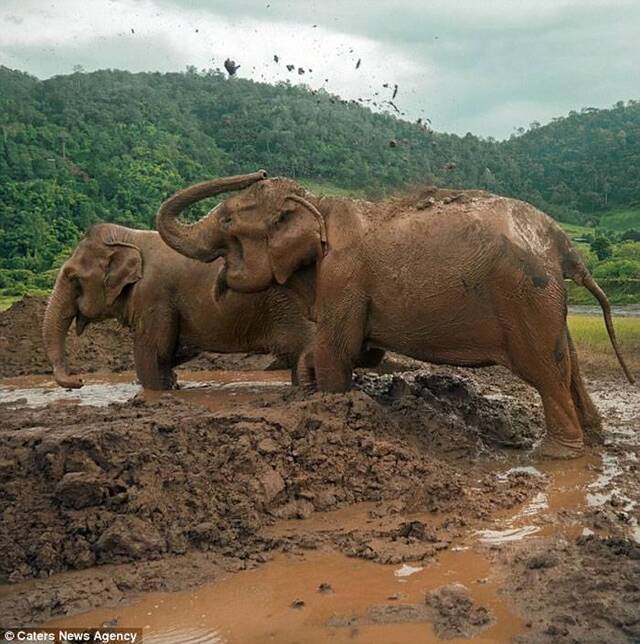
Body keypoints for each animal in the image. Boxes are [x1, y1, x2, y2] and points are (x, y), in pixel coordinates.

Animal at [42, 221, 318, 392]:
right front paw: (173, 383)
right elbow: (172, 350)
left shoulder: (154, 295)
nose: (79, 379)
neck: (130, 237)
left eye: (72, 278)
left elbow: (152, 354)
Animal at [156, 171, 636, 458]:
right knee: (569, 367)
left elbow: (339, 350)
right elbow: (343, 350)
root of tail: (561, 241)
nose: (257, 171)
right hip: (545, 301)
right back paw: (595, 439)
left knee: (546, 374)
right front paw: (306, 390)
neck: (320, 206)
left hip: (525, 296)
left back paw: (554, 455)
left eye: (228, 221)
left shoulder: (344, 277)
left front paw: (332, 404)